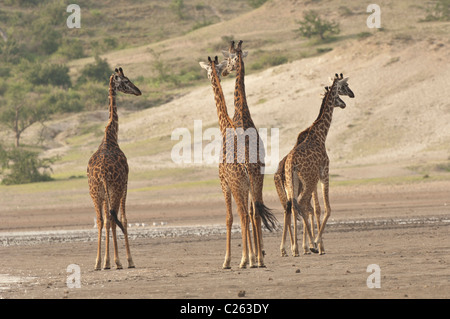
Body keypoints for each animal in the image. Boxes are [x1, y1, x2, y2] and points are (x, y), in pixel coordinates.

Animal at [85, 67, 140, 270]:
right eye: (125, 80)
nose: (138, 91)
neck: (111, 136)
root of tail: (101, 173)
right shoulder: (125, 184)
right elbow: (123, 219)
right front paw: (127, 260)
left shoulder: (103, 193)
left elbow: (108, 221)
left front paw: (106, 260)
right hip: (113, 189)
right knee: (112, 218)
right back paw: (114, 261)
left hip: (95, 193)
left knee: (102, 220)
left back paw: (98, 262)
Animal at [200, 55, 256, 270]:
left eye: (209, 71)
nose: (221, 73)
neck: (225, 126)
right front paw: (252, 257)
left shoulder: (224, 182)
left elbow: (229, 218)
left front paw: (227, 260)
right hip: (252, 185)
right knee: (252, 214)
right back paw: (256, 259)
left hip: (237, 185)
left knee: (243, 215)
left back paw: (244, 260)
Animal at [274, 74, 356, 256]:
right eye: (345, 86)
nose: (349, 98)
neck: (320, 134)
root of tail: (289, 164)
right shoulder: (324, 172)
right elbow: (325, 208)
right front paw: (318, 243)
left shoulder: (314, 178)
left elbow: (314, 208)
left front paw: (313, 244)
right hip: (308, 180)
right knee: (301, 204)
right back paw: (308, 245)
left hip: (293, 183)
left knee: (291, 206)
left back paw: (289, 248)